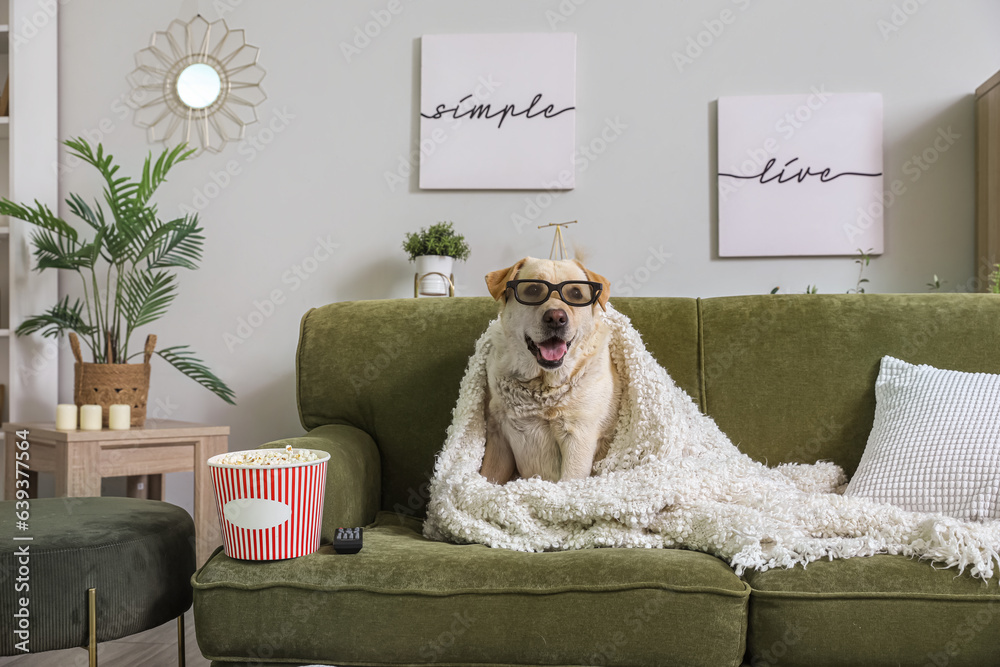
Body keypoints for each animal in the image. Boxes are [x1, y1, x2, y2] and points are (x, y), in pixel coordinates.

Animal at [478, 258, 624, 486]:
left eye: (575, 293)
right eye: (533, 289)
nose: (556, 318)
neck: (542, 385)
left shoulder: (578, 437)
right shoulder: (498, 437)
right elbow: (487, 478)